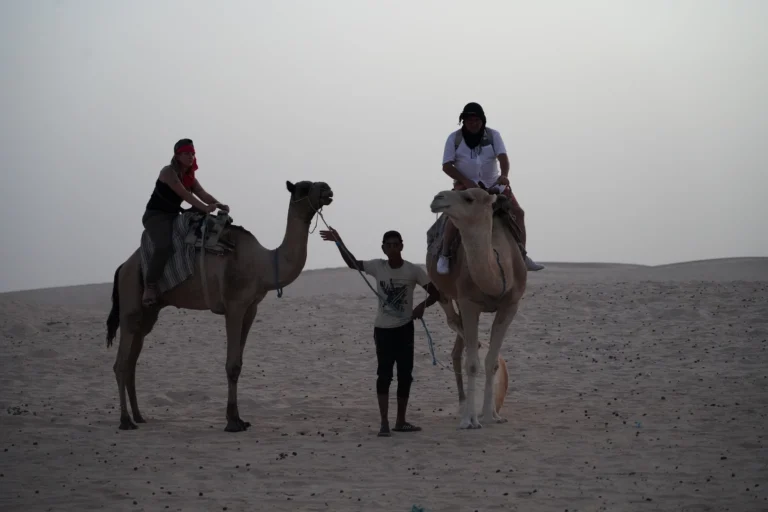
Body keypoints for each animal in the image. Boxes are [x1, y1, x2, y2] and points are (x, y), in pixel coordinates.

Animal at [106, 180, 332, 432]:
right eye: (304, 188)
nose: (327, 188)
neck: (263, 264)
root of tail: (123, 266)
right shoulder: (234, 305)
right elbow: (232, 365)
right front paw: (233, 421)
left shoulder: (251, 308)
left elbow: (240, 363)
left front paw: (239, 418)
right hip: (130, 305)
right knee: (121, 363)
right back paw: (125, 420)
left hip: (148, 312)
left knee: (132, 361)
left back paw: (138, 416)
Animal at [426, 187, 528, 428]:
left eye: (469, 198)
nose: (437, 198)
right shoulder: (469, 303)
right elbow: (472, 363)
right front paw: (469, 420)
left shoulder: (510, 306)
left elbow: (491, 362)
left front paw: (492, 415)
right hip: (443, 292)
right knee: (454, 323)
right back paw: (463, 406)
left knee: (459, 344)